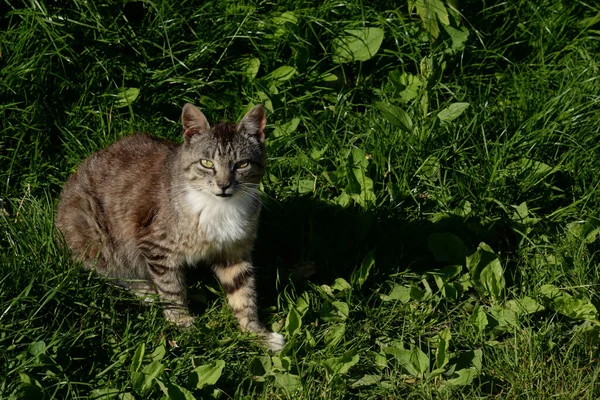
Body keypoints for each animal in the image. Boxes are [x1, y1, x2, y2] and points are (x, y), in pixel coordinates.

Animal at [54, 102, 286, 350]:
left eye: (242, 164)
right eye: (206, 163)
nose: (223, 185)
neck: (218, 207)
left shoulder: (234, 250)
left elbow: (243, 293)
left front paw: (257, 334)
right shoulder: (156, 244)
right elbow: (170, 288)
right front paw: (183, 325)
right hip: (94, 234)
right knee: (109, 269)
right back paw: (146, 291)